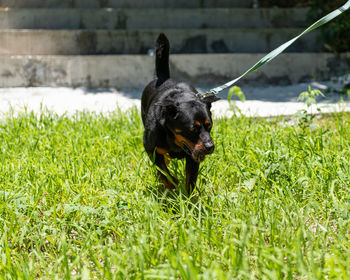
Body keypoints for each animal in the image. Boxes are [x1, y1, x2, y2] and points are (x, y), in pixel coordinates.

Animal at [142, 33, 219, 192]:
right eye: (192, 129)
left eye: (209, 126)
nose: (210, 147)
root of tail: (162, 77)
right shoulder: (150, 148)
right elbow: (163, 172)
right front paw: (172, 185)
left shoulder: (194, 155)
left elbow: (191, 180)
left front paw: (188, 197)